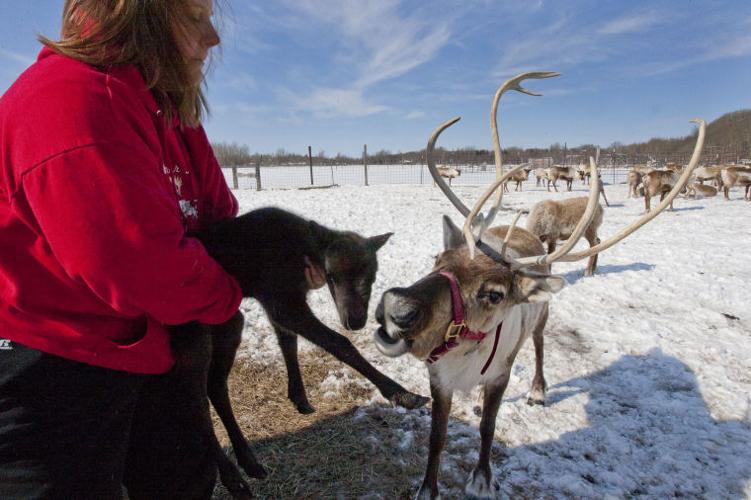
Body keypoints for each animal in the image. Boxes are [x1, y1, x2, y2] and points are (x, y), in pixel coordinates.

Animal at [160, 208, 429, 499]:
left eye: (373, 277)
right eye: (331, 276)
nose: (356, 321)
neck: (301, 253)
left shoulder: (278, 304)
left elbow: (288, 342)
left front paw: (298, 396)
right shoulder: (282, 301)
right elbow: (337, 342)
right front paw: (403, 394)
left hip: (229, 323)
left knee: (215, 386)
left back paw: (248, 462)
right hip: (192, 333)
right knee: (192, 397)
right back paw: (234, 479)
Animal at [372, 71, 706, 500]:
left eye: (494, 294)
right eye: (437, 259)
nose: (396, 307)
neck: (466, 357)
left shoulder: (499, 373)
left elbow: (488, 428)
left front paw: (483, 478)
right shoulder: (439, 380)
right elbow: (437, 436)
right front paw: (427, 488)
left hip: (541, 319)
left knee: (540, 347)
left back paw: (537, 390)